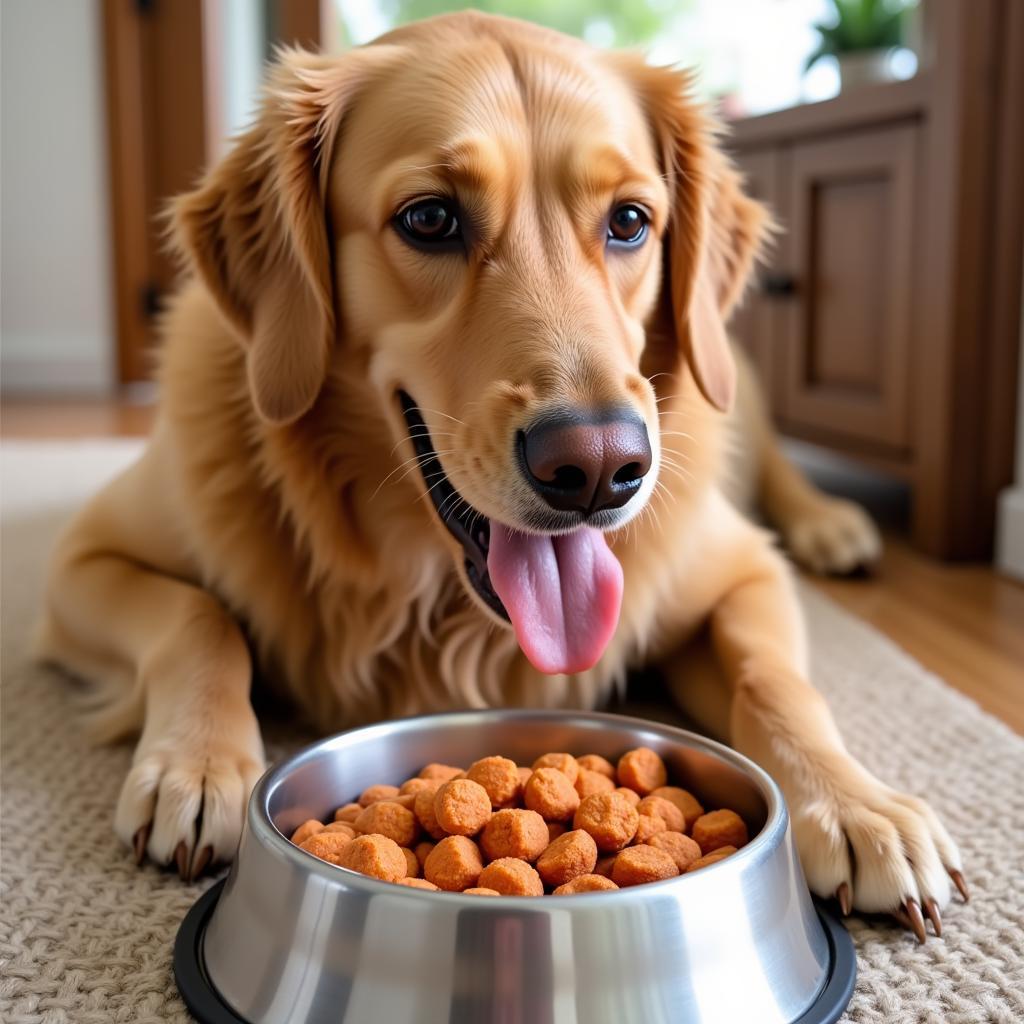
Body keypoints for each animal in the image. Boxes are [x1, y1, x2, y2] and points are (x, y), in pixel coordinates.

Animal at [41, 12, 958, 937]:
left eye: (630, 220)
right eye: (430, 218)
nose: (599, 470)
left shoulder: (743, 571)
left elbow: (776, 682)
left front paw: (856, 805)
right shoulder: (80, 562)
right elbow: (199, 620)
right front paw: (196, 765)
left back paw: (832, 523)